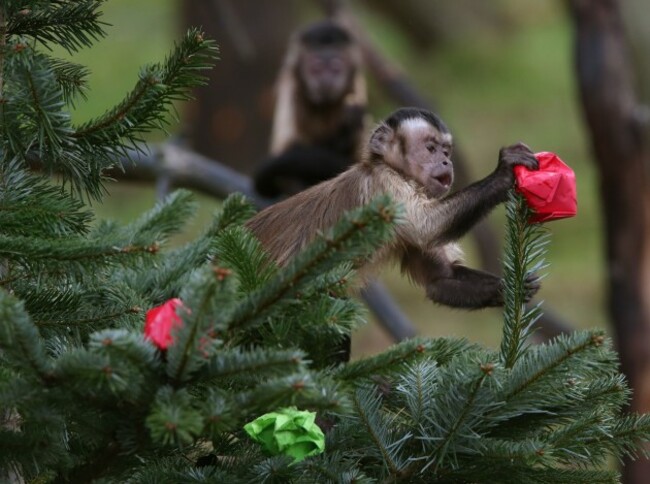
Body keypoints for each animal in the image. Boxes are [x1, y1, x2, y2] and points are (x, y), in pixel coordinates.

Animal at [247, 107, 541, 310]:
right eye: (431, 148)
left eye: (446, 151)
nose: (446, 162)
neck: (395, 170)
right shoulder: (386, 186)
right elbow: (426, 227)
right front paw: (503, 174)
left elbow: (440, 279)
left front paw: (511, 288)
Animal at [253, 19, 367, 198]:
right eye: (316, 68)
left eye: (336, 68)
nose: (326, 78)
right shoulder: (290, 83)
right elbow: (287, 143)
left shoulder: (357, 83)